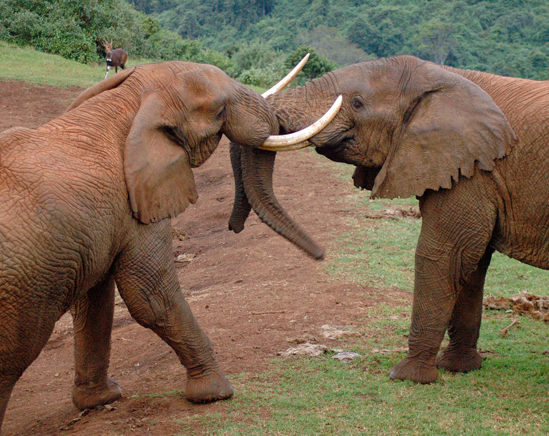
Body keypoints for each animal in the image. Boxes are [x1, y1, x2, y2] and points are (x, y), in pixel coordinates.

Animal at [0, 59, 334, 430]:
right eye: (219, 110)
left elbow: (94, 303)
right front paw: (217, 393)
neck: (130, 100)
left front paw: (103, 399)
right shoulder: (139, 200)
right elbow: (150, 296)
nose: (320, 255)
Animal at [243, 54, 548, 384]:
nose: (319, 254)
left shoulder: (471, 170)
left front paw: (408, 376)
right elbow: (471, 263)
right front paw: (457, 368)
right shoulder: (473, 167)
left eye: (357, 103)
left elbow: (444, 255)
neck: (442, 76)